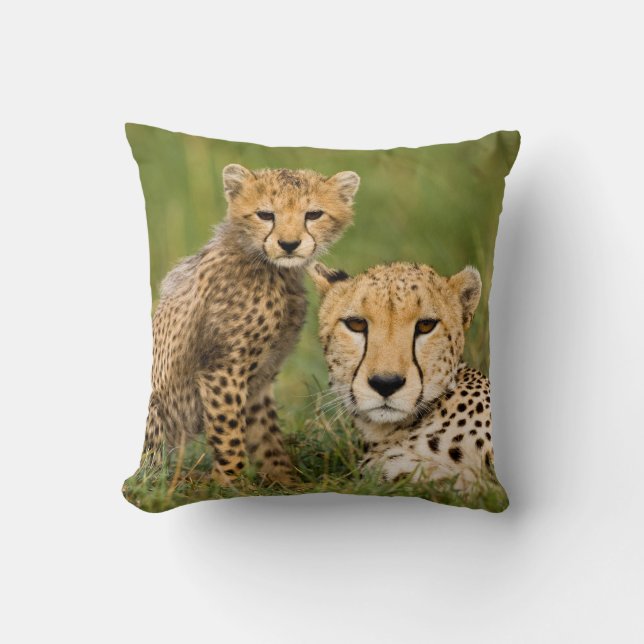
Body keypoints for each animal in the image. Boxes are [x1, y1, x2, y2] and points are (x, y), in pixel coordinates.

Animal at [142, 164, 360, 486]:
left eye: (313, 214)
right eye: (266, 214)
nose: (289, 244)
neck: (273, 271)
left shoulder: (260, 376)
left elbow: (266, 433)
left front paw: (284, 479)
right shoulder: (223, 369)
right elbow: (229, 432)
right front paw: (229, 484)